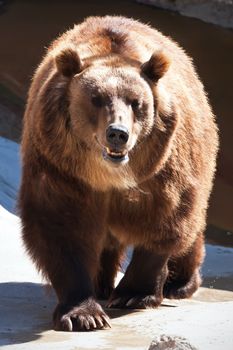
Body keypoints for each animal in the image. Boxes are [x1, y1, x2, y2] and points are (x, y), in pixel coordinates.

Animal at [19, 15, 219, 330]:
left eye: (136, 102)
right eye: (96, 99)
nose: (117, 133)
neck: (107, 176)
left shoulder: (161, 171)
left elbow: (165, 219)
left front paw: (133, 294)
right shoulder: (61, 169)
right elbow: (62, 227)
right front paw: (84, 314)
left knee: (191, 225)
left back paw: (179, 283)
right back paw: (101, 284)